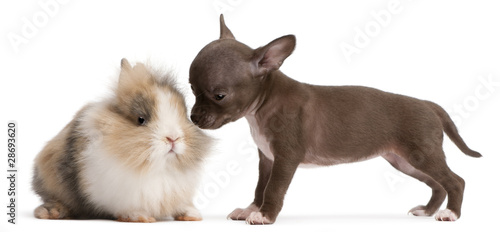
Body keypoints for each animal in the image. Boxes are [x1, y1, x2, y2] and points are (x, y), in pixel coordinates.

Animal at [31, 58, 211, 223]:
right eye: (141, 119)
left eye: (184, 115)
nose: (173, 138)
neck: (158, 168)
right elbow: (128, 208)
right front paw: (141, 217)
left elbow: (182, 205)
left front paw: (192, 215)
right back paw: (51, 212)